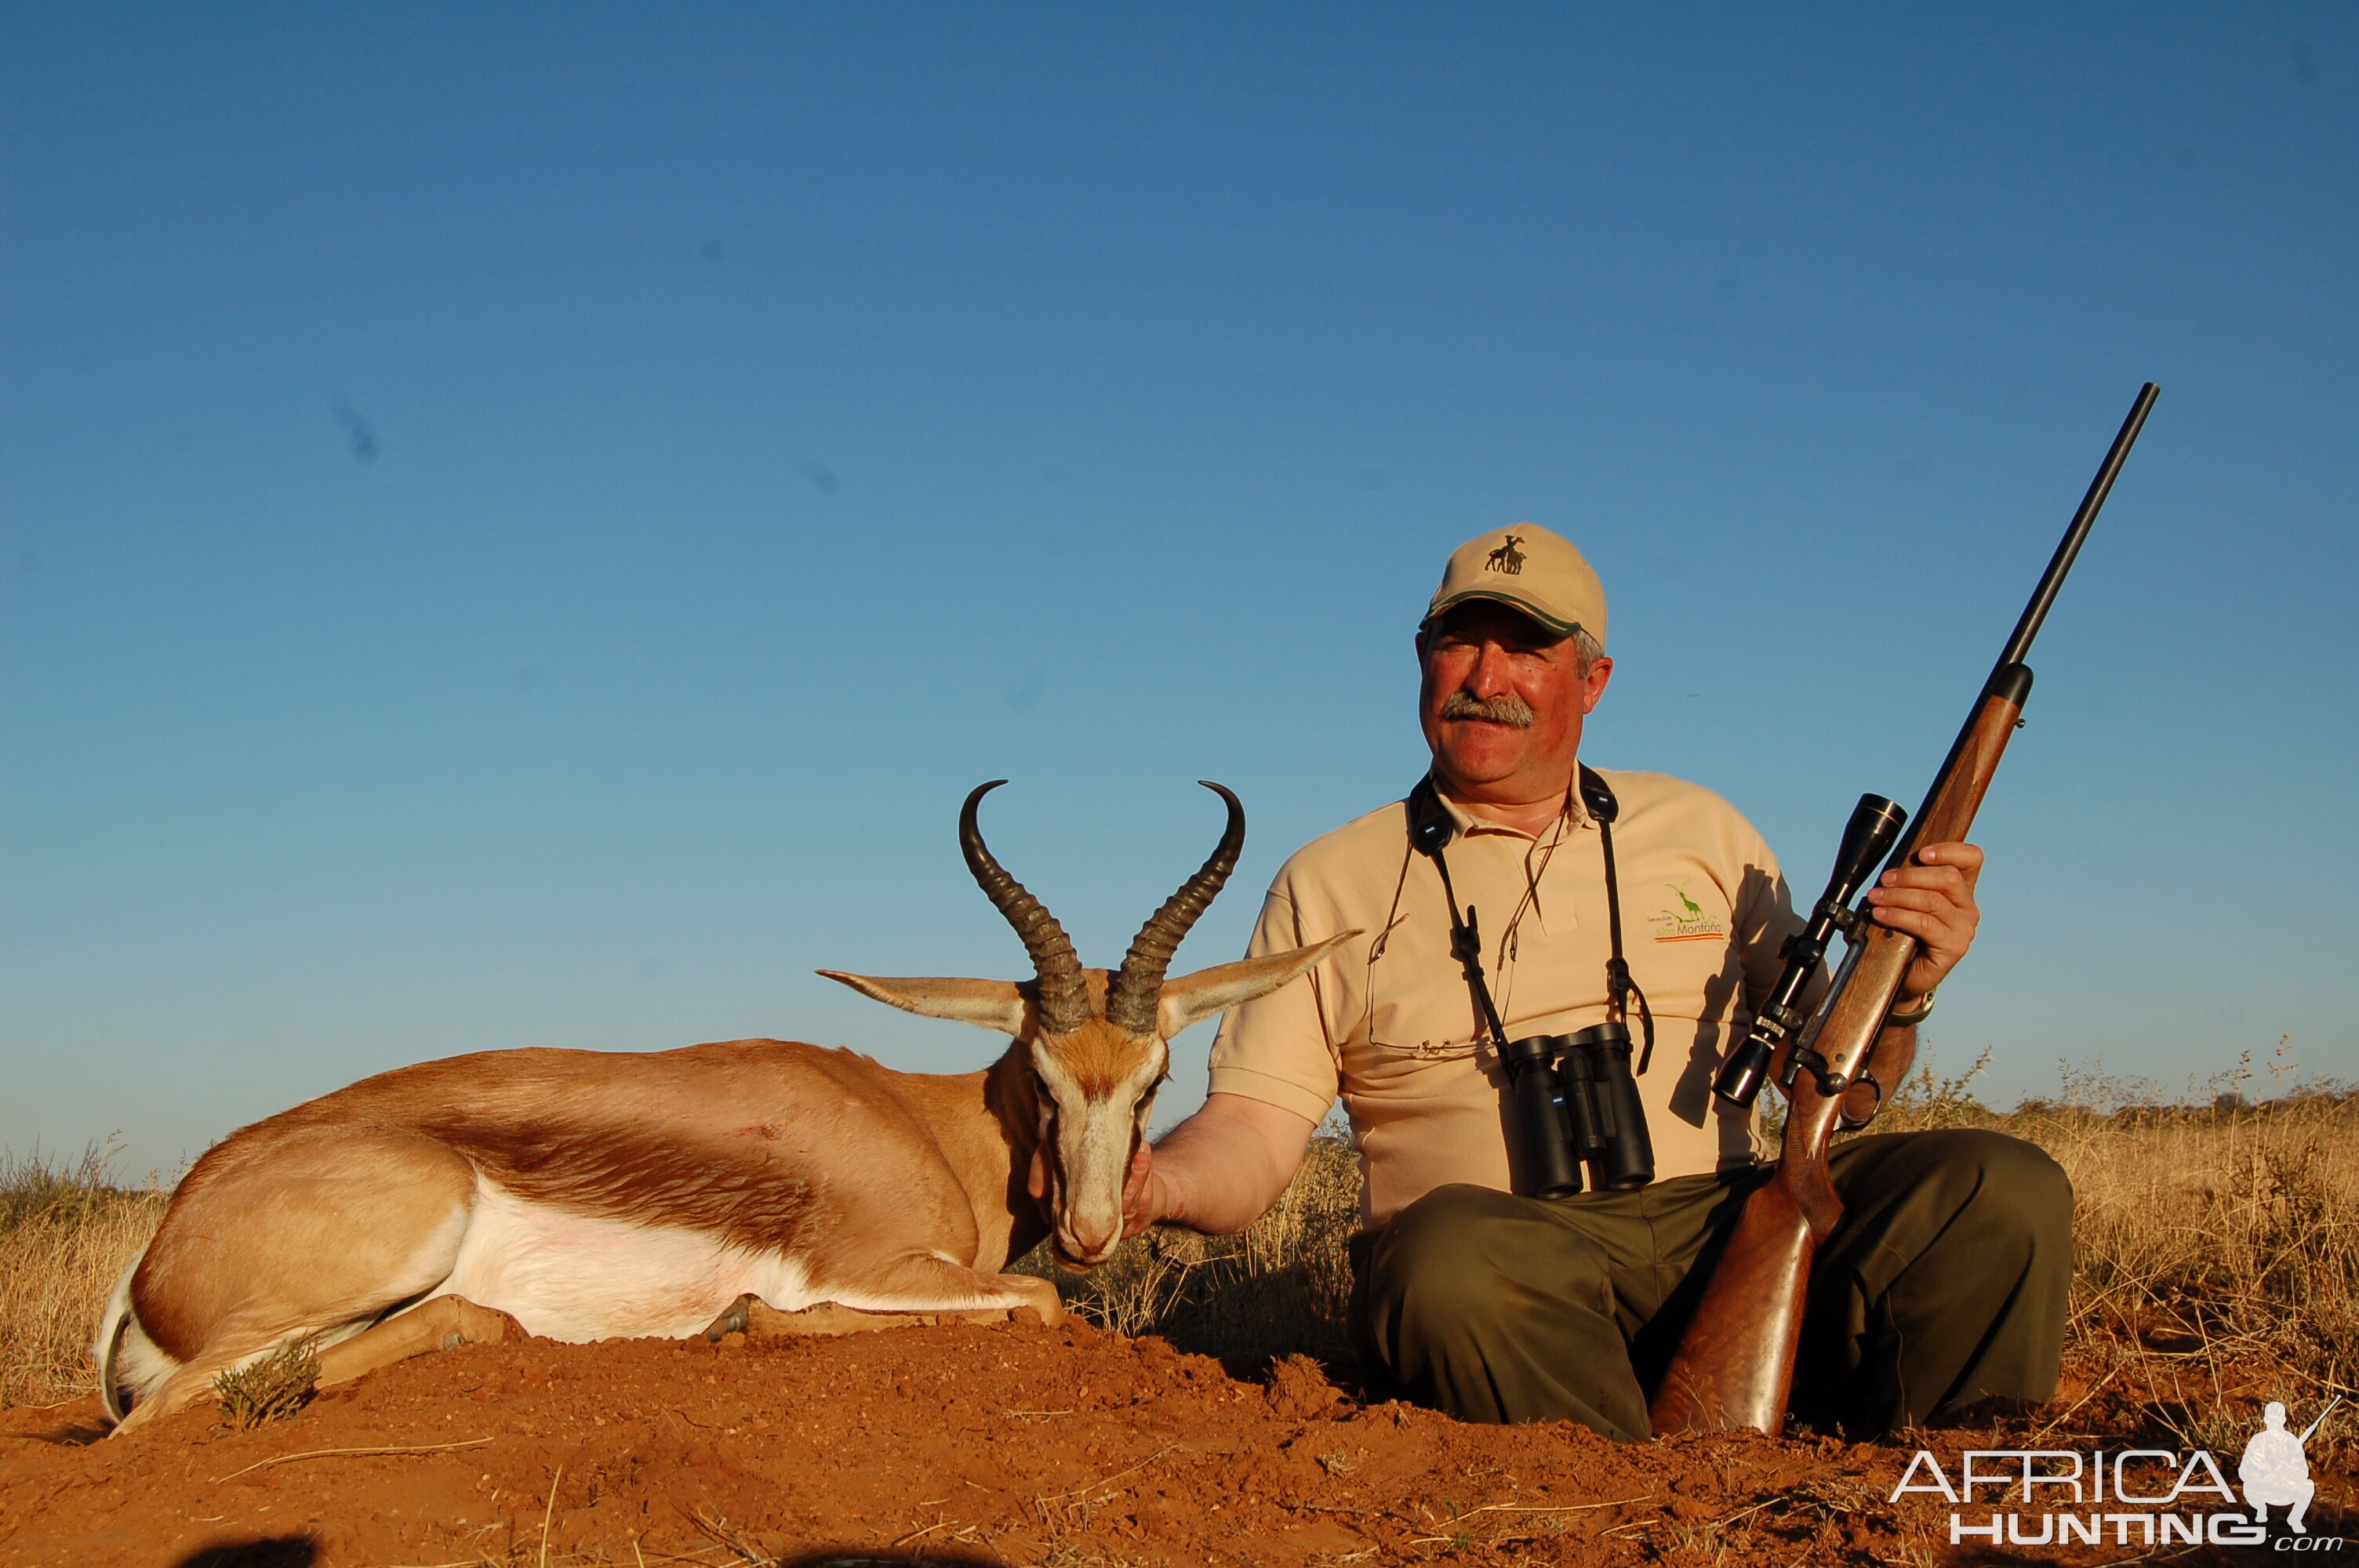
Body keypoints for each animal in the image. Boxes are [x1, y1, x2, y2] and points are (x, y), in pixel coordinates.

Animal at [96, 782, 1349, 1433]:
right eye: (1038, 1073)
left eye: (1154, 1080)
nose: (1093, 1232)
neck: (925, 1127)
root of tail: (164, 1247)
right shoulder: (876, 1266)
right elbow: (1032, 1306)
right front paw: (747, 1320)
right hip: (399, 1240)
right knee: (174, 1411)